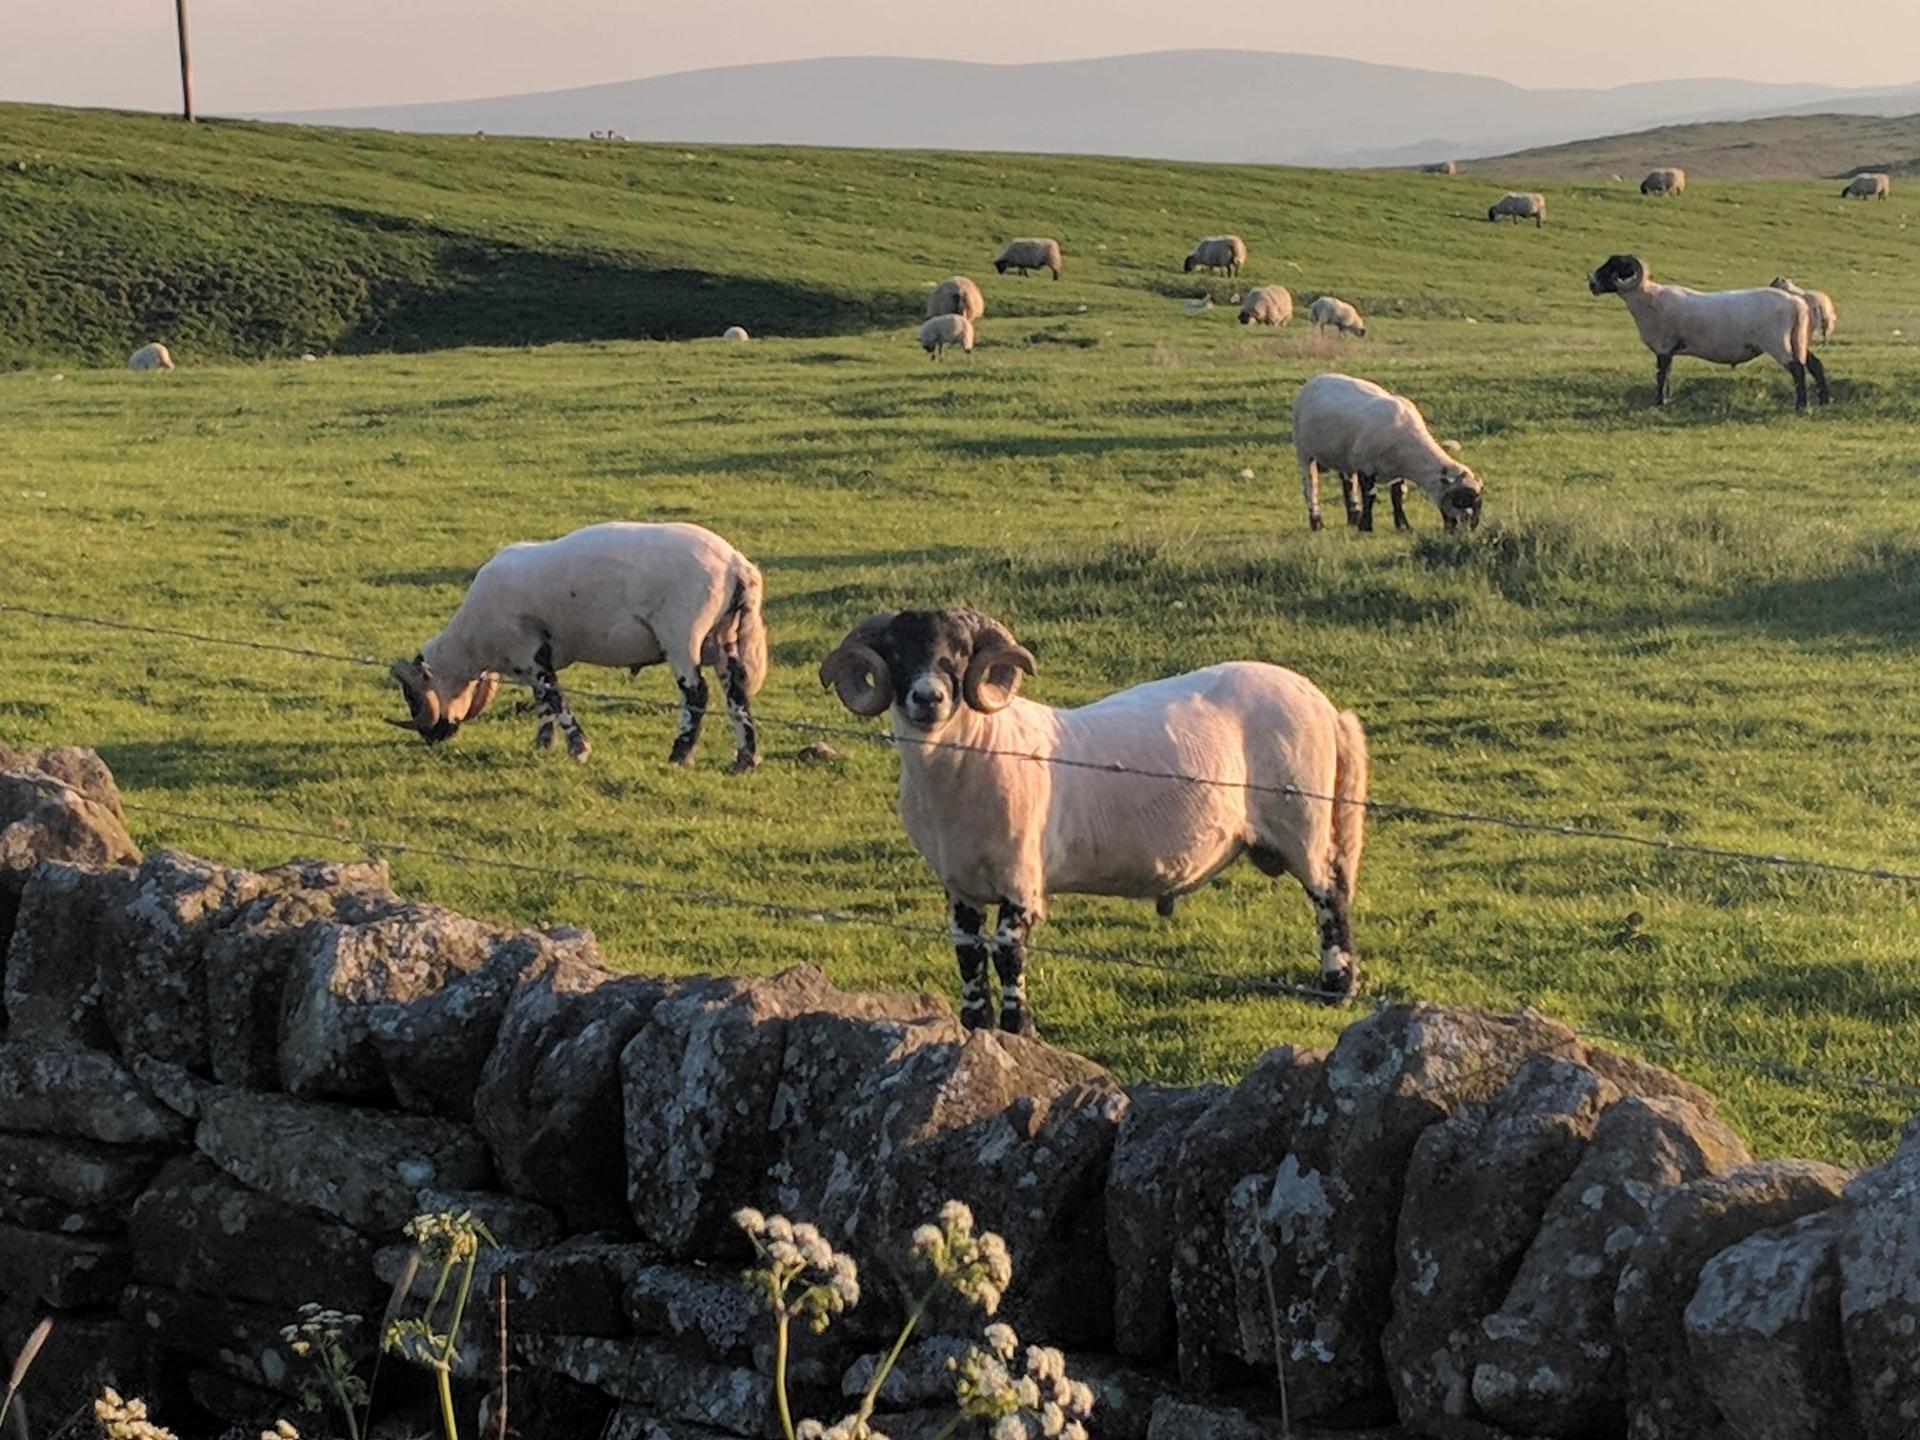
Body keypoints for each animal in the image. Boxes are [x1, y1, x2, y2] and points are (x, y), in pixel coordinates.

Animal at [387, 521, 767, 769]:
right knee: (736, 692)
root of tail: (735, 564)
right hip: (723, 637)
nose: (431, 737)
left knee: (696, 694)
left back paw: (679, 755)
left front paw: (578, 747)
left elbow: (554, 696)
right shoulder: (531, 657)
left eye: (410, 694)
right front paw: (543, 743)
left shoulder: (529, 650)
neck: (472, 643)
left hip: (681, 633)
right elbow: (541, 700)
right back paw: (745, 758)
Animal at [818, 608, 1371, 1028]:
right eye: (896, 653)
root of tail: (1325, 706)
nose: (928, 698)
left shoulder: (1022, 882)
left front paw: (1019, 1030)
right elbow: (968, 954)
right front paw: (975, 1025)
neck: (972, 753)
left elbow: (1007, 953)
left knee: (1330, 896)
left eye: (957, 653)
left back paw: (1336, 986)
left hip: (1303, 819)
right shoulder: (959, 885)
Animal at [1292, 373, 1485, 534]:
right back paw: (1317, 523)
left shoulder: (1397, 473)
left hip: (1345, 457)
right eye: (1461, 500)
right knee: (1311, 485)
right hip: (1303, 450)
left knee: (1348, 483)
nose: (1465, 532)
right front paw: (1366, 526)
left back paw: (1353, 517)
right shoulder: (1366, 466)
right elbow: (1370, 495)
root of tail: (1316, 379)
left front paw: (1403, 526)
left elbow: (1397, 497)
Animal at [1587, 253, 1829, 410]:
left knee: (1797, 368)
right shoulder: (1669, 349)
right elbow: (1667, 374)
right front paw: (1666, 400)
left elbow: (1661, 375)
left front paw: (1659, 403)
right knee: (1815, 365)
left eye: (1614, 268)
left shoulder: (1664, 346)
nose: (1591, 283)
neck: (1647, 298)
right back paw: (1824, 401)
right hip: (1798, 339)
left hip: (1777, 342)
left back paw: (1801, 405)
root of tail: (1796, 302)